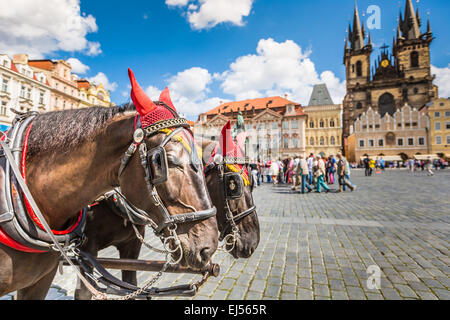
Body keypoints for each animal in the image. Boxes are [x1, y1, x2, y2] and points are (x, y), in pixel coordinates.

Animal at [72, 99, 258, 300]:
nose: (253, 242)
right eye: (233, 184)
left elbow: (131, 285)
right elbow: (84, 291)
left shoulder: (132, 247)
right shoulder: (86, 252)